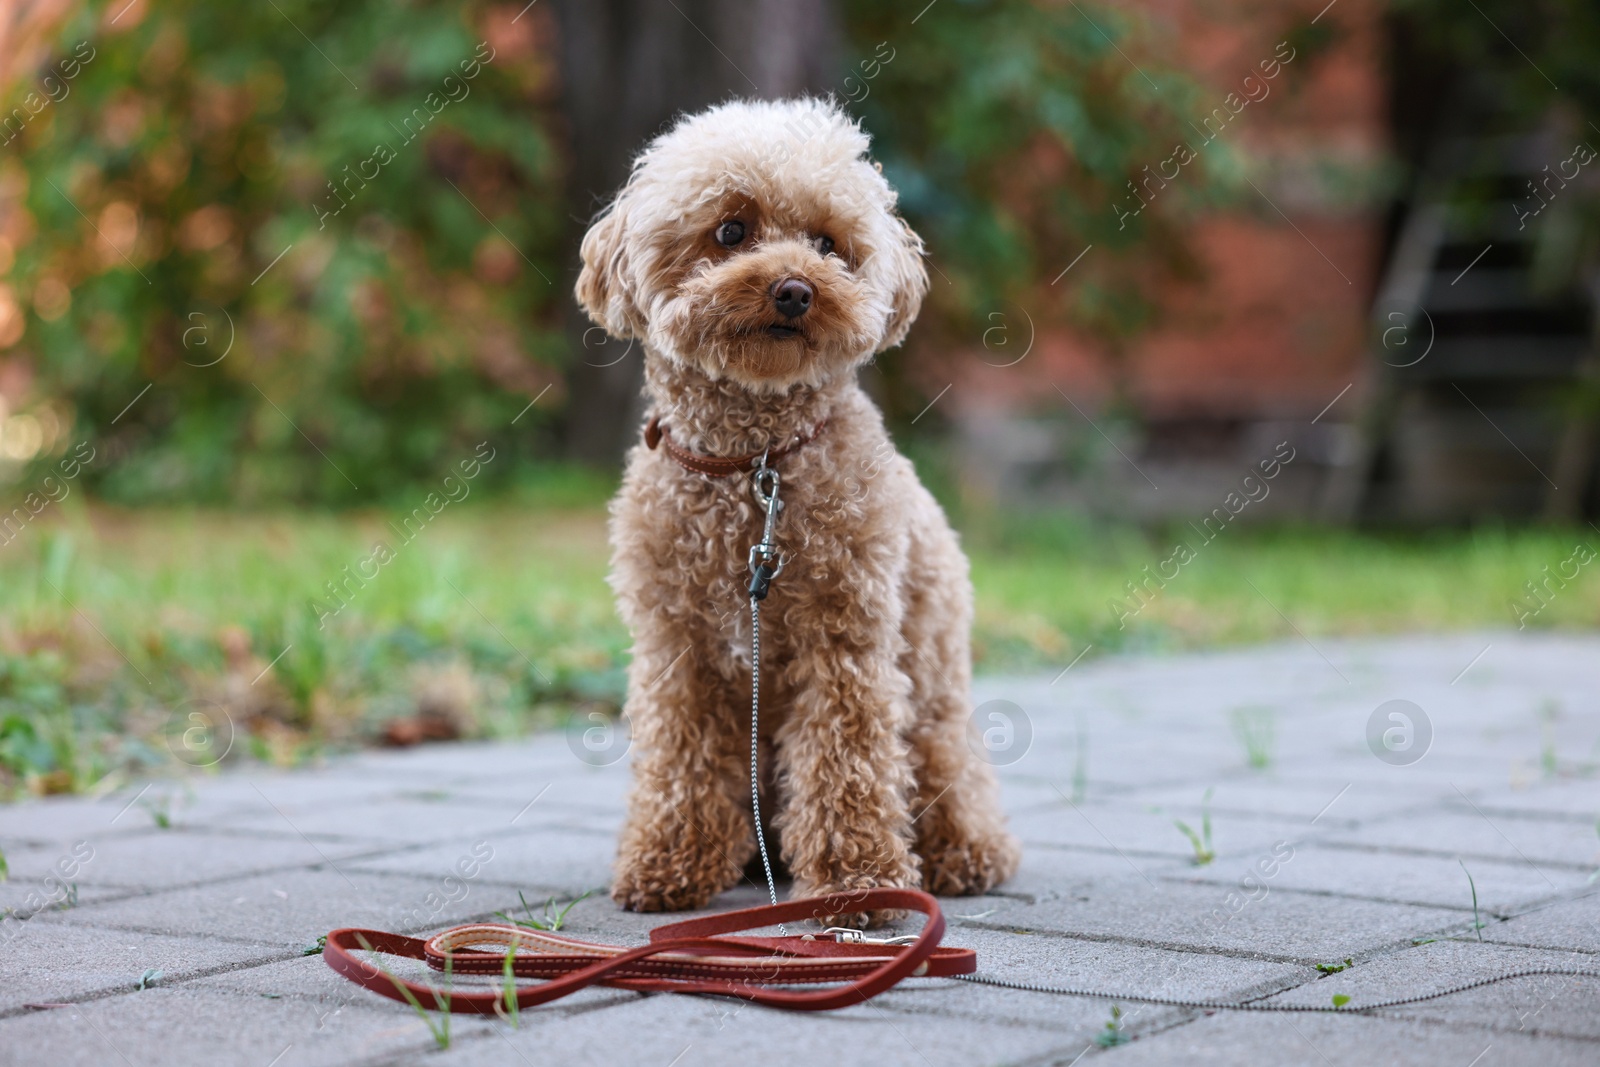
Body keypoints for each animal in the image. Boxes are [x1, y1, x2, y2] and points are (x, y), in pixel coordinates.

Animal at [582, 95, 1017, 921]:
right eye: (730, 230)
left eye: (827, 243)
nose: (794, 288)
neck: (754, 465)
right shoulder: (676, 648)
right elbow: (680, 757)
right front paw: (670, 860)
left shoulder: (844, 640)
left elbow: (845, 763)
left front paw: (858, 882)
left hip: (934, 716)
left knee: (950, 782)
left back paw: (963, 856)